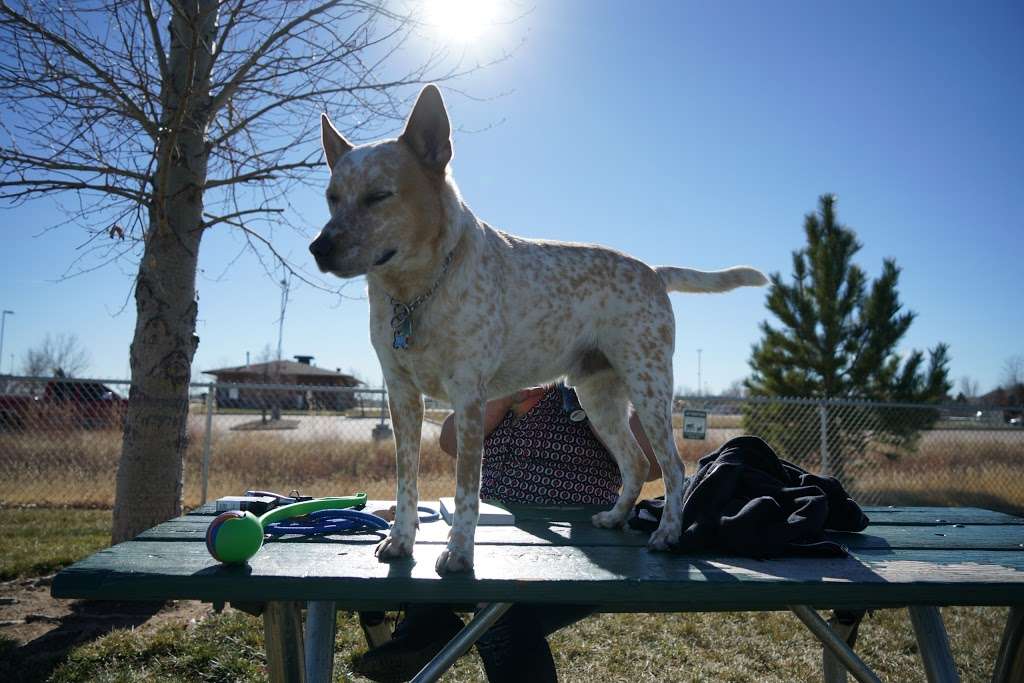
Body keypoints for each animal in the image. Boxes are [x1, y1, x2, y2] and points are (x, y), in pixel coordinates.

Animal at [311, 87, 770, 577]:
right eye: (332, 197)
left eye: (379, 195)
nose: (318, 247)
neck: (415, 293)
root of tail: (653, 271)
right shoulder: (401, 395)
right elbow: (406, 483)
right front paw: (400, 540)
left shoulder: (469, 397)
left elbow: (467, 491)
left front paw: (459, 552)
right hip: (599, 396)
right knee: (634, 460)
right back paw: (614, 517)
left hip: (649, 389)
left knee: (673, 468)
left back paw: (666, 534)